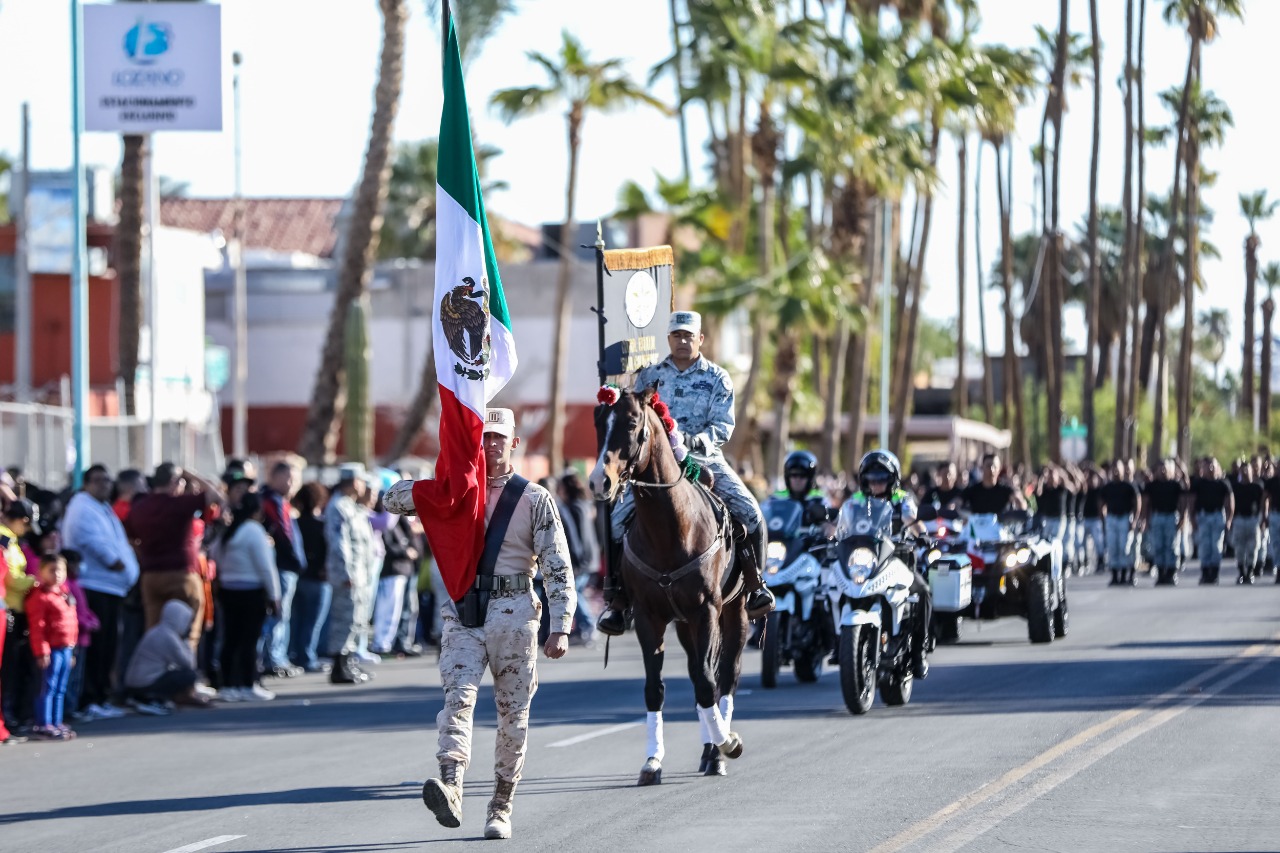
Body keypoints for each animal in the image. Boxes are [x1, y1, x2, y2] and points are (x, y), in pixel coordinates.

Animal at [588, 384, 747, 783]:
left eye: (632, 423)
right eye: (597, 422)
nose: (599, 482)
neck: (670, 528)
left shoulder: (707, 611)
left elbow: (708, 683)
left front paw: (726, 745)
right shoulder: (650, 617)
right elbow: (655, 688)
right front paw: (652, 760)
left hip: (734, 613)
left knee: (726, 675)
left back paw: (718, 746)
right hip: (685, 625)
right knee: (695, 674)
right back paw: (707, 749)